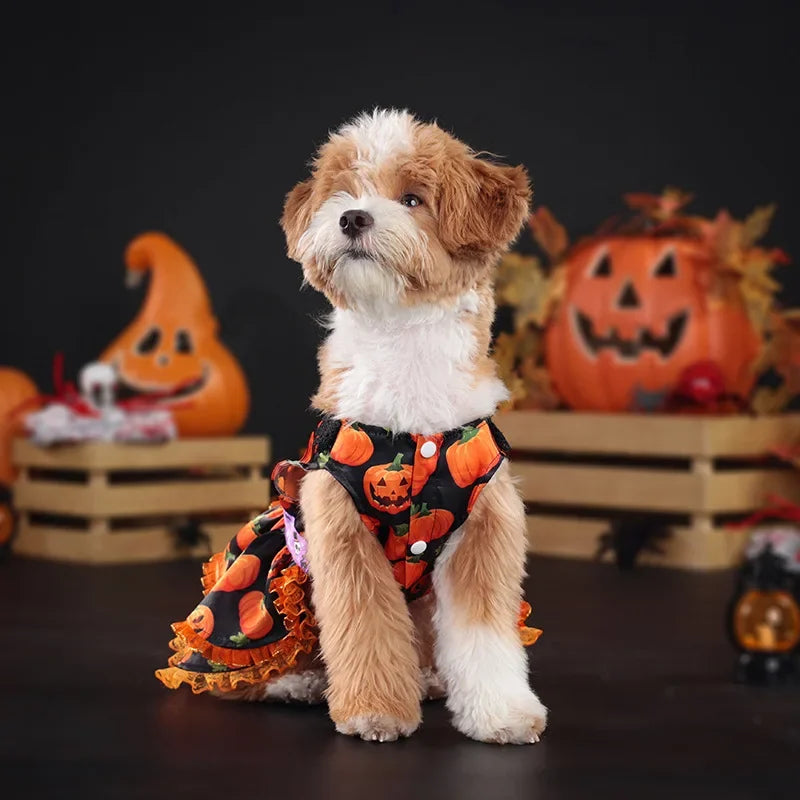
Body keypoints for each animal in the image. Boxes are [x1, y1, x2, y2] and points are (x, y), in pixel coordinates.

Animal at [270, 111, 552, 744]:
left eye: (412, 199)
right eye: (344, 191)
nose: (352, 217)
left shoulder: (485, 527)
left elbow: (484, 636)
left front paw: (502, 713)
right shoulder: (340, 528)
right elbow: (366, 626)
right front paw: (374, 711)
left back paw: (428, 680)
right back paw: (295, 682)